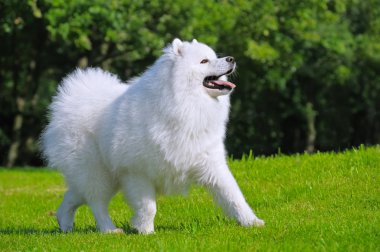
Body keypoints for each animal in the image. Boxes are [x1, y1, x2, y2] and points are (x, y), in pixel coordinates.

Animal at [40, 38, 262, 234]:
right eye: (204, 61)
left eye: (215, 57)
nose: (231, 58)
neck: (184, 105)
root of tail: (71, 100)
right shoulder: (137, 172)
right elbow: (148, 207)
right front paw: (146, 231)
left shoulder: (211, 163)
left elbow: (234, 195)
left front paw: (252, 222)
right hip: (97, 172)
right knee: (97, 203)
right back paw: (109, 230)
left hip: (104, 176)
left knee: (74, 196)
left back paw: (64, 223)